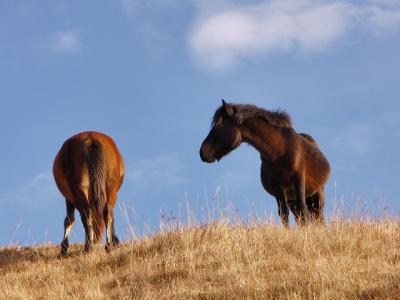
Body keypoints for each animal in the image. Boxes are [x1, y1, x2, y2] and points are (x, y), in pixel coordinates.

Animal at [198, 99, 330, 226]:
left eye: (219, 126)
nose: (202, 152)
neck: (279, 150)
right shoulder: (278, 187)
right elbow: (284, 214)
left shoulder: (298, 179)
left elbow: (302, 210)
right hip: (292, 199)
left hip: (317, 193)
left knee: (317, 216)